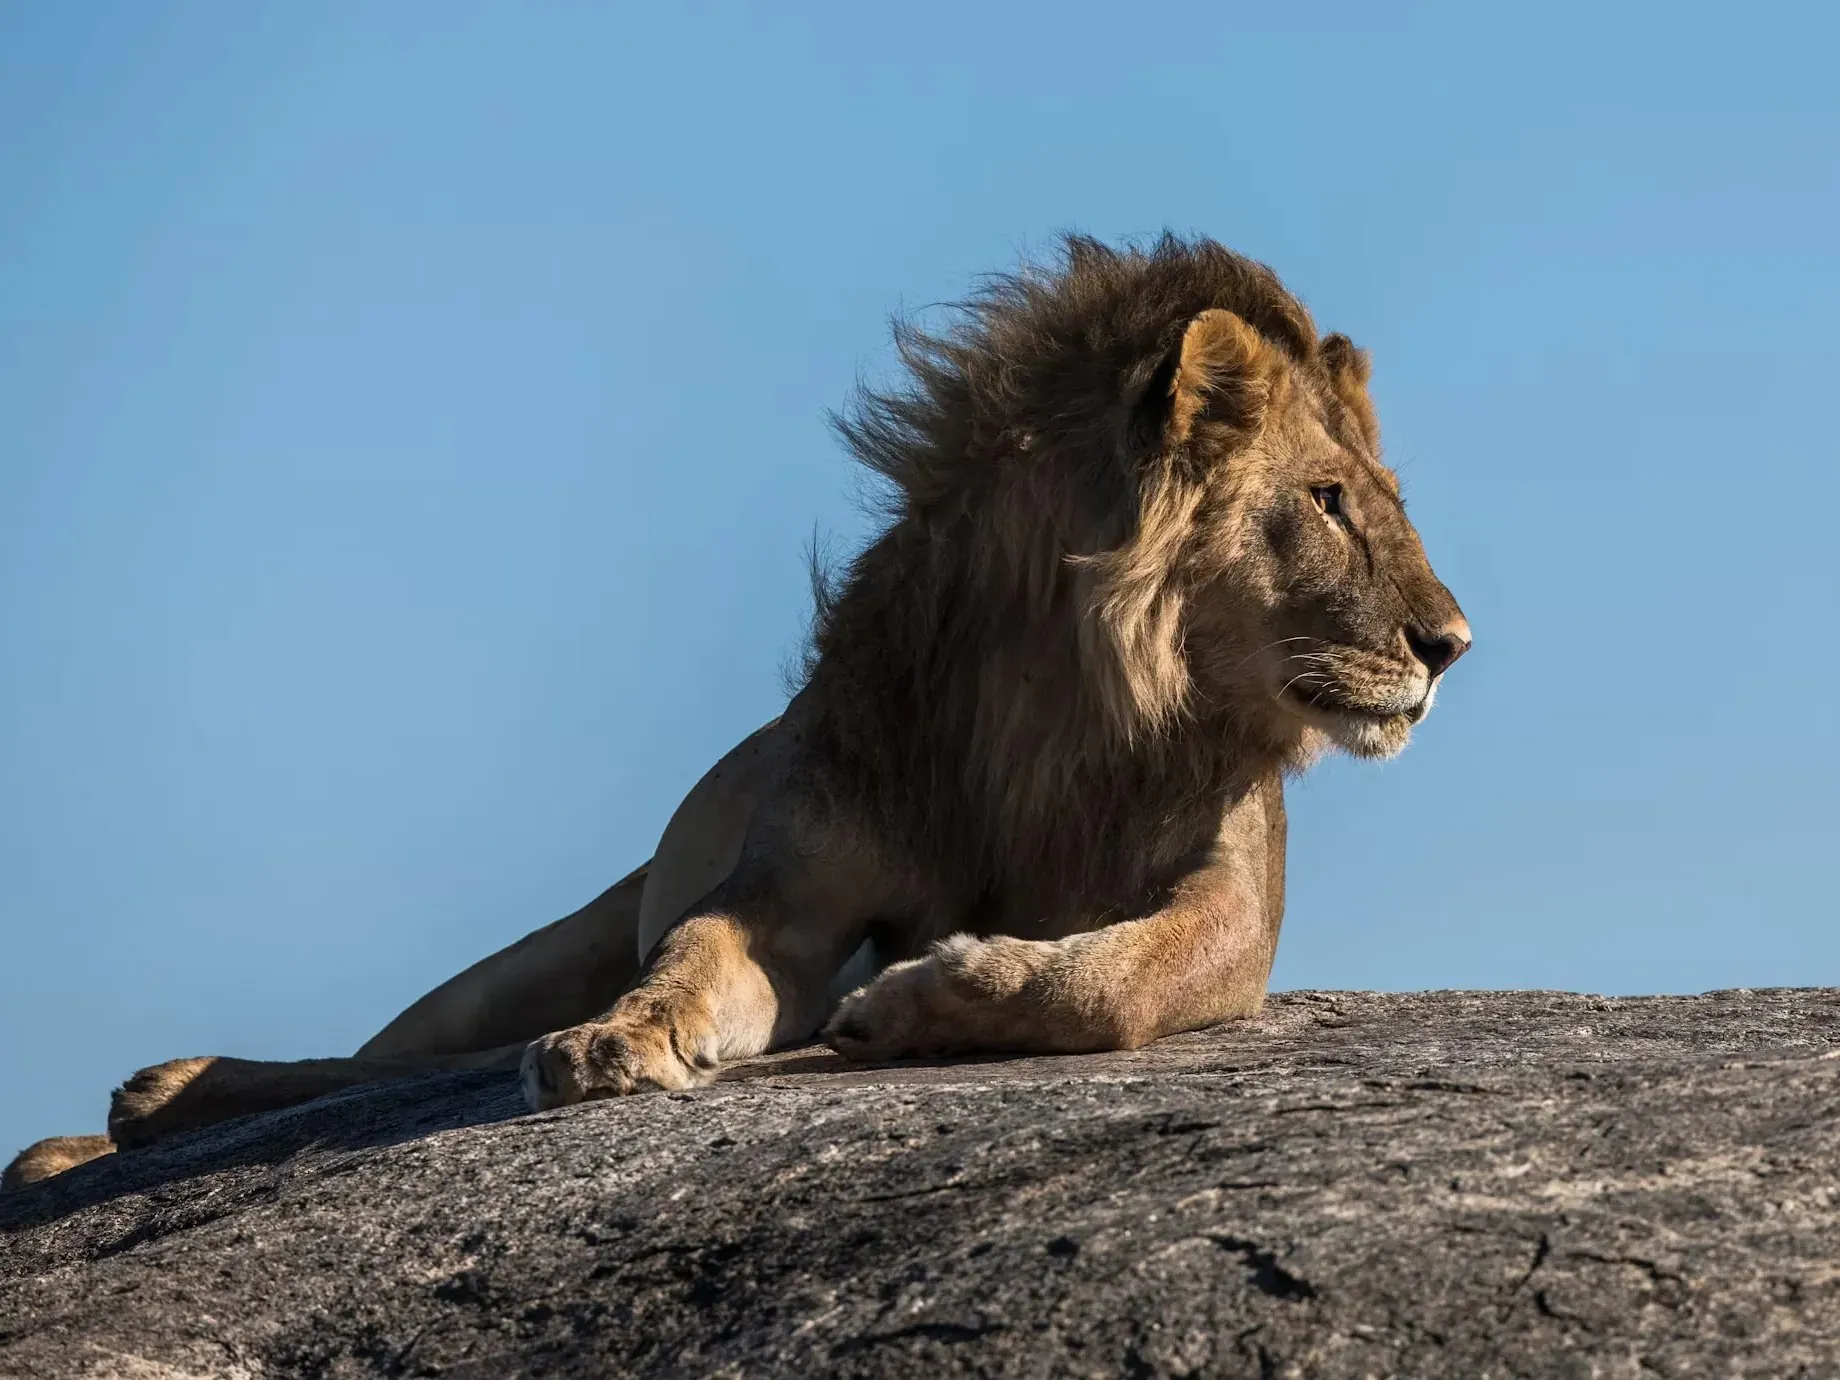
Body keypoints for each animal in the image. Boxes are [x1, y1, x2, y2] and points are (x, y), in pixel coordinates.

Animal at [4, 233, 1469, 1191]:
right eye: (1330, 501)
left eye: (1377, 496)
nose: (1451, 645)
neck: (1059, 713)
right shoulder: (790, 889)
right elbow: (699, 952)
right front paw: (622, 1040)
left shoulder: (1233, 907)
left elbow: (1112, 979)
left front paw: (923, 998)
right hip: (530, 954)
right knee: (382, 1061)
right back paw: (130, 1113)